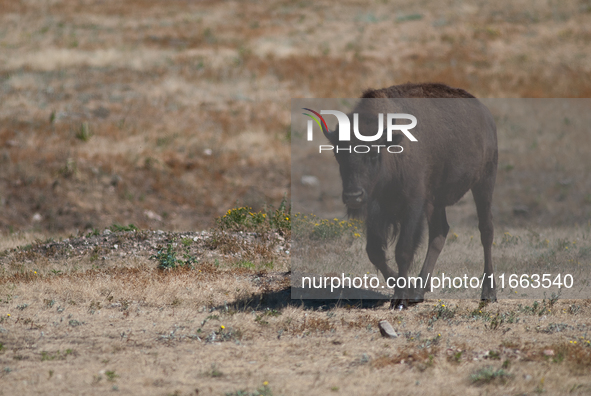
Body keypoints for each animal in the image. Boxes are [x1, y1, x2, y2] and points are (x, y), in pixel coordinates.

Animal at [324, 82, 500, 308]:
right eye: (338, 154)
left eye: (373, 153)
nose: (353, 196)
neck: (391, 148)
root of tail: (486, 116)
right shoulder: (376, 211)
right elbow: (375, 252)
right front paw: (405, 289)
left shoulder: (413, 206)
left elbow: (403, 251)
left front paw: (400, 299)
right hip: (436, 200)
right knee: (439, 232)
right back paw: (418, 291)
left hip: (484, 183)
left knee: (486, 231)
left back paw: (488, 293)